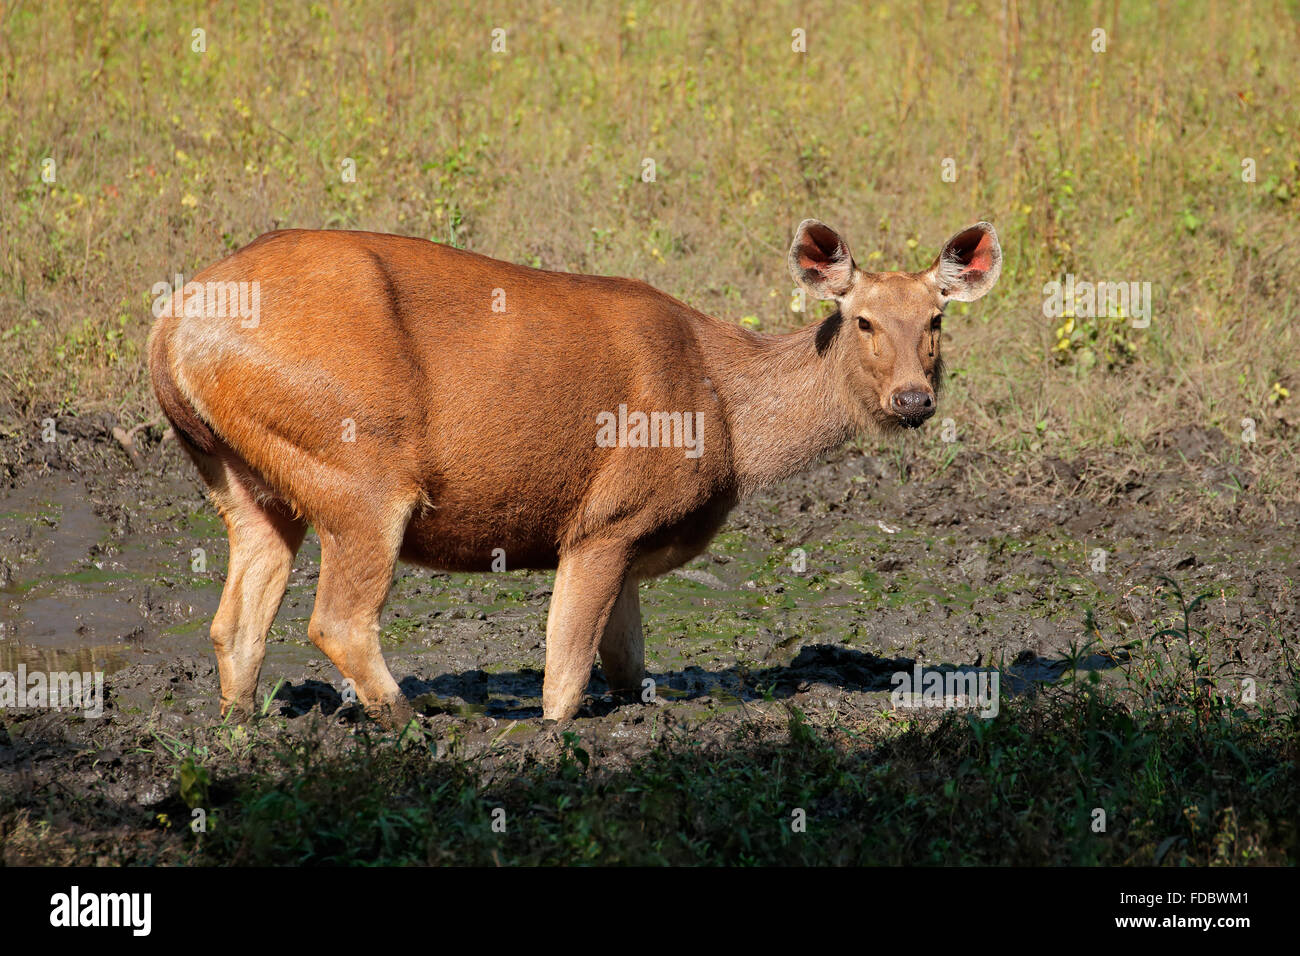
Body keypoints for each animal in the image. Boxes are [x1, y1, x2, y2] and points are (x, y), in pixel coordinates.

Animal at [149, 218, 1003, 723]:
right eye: (863, 322)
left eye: (935, 320)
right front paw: (554, 740)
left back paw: (243, 731)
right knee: (337, 620)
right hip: (360, 468)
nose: (913, 398)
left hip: (243, 482)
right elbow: (563, 675)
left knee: (236, 622)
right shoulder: (606, 518)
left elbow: (626, 663)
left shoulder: (628, 539)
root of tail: (171, 329)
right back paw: (420, 728)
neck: (729, 416)